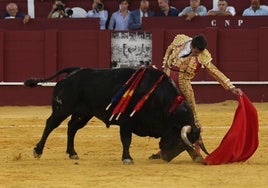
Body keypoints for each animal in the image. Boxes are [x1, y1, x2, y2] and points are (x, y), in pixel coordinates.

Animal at [25, 67, 205, 164]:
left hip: (84, 113)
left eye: (183, 145)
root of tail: (74, 71)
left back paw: (72, 152)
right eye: (178, 141)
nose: (166, 158)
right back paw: (38, 151)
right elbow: (126, 140)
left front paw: (197, 157)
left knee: (72, 127)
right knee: (50, 124)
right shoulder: (126, 121)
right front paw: (127, 158)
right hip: (62, 108)